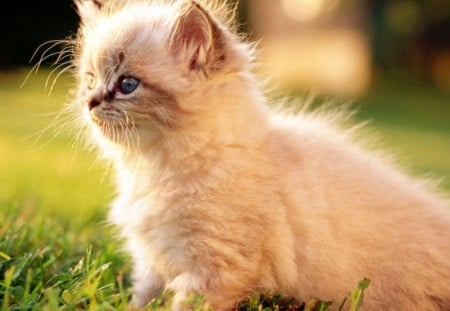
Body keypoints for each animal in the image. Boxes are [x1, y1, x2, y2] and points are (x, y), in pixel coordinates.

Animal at [72, 0, 450, 310]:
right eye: (89, 80)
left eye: (127, 85)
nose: (90, 102)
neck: (156, 169)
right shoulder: (152, 265)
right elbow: (141, 300)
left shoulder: (214, 269)